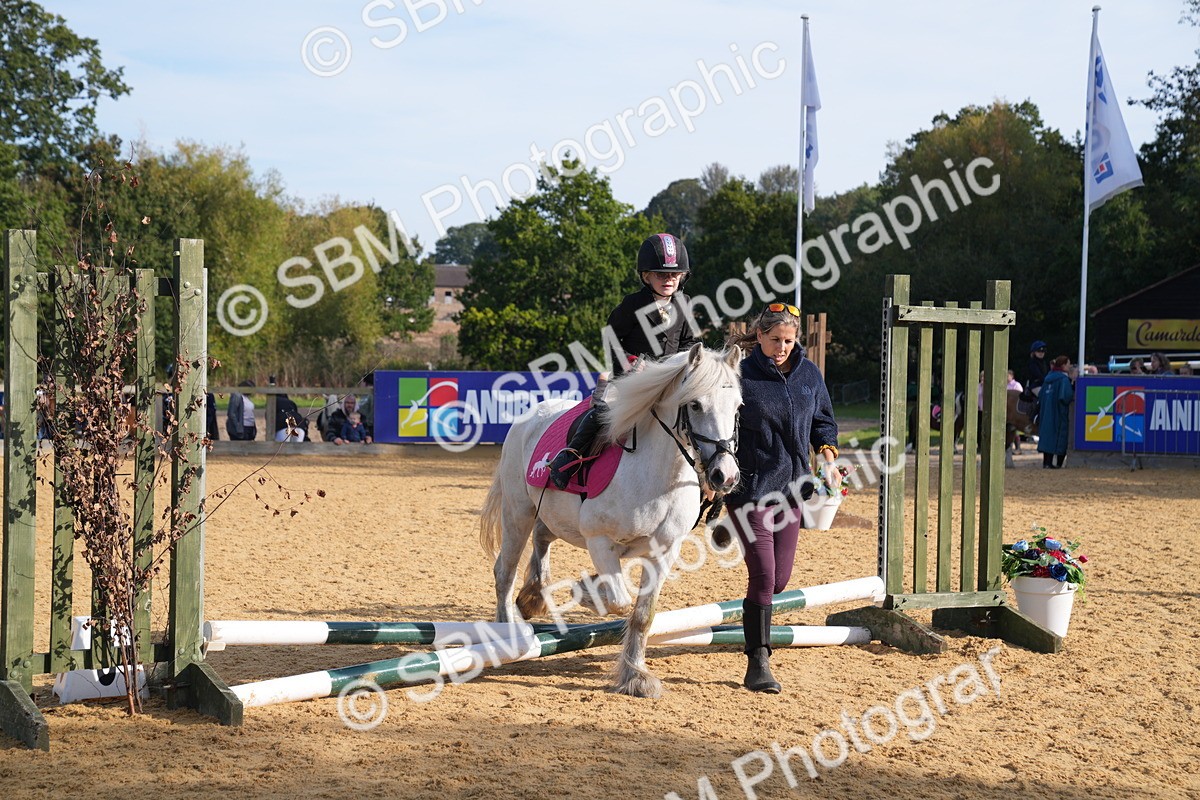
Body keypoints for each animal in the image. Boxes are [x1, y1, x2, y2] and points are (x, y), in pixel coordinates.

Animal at [479, 344, 742, 698]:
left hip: (548, 514)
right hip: (517, 513)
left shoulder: (665, 551)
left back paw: (533, 595)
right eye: (696, 404)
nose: (724, 475)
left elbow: (643, 615)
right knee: (504, 573)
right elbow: (619, 601)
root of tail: (529, 416)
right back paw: (509, 633)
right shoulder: (600, 541)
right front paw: (587, 591)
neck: (656, 474)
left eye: (737, 407)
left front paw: (635, 676)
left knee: (542, 538)